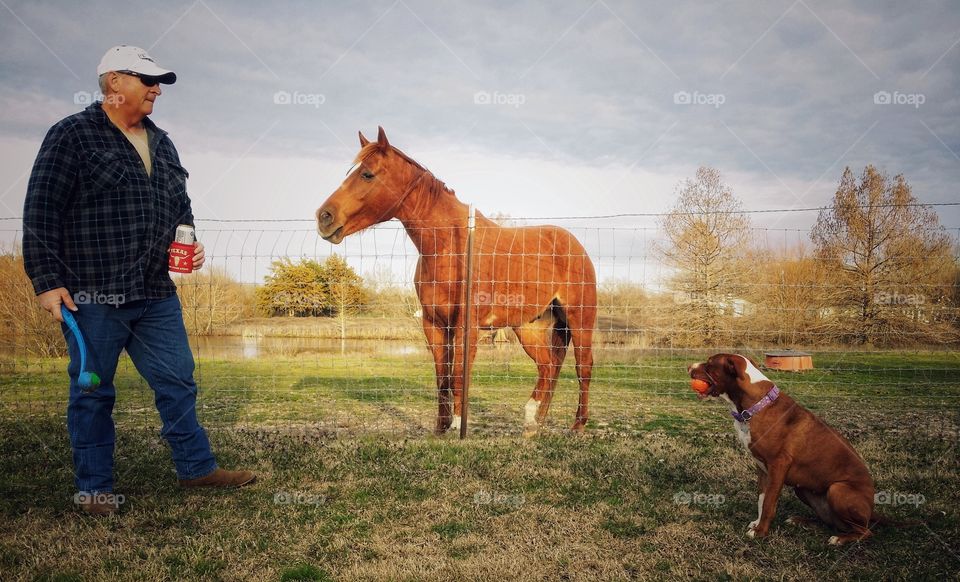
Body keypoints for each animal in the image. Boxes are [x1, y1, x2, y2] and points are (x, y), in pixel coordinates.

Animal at [318, 128, 596, 438]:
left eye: (367, 174)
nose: (324, 217)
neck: (449, 245)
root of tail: (574, 245)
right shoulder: (434, 325)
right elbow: (443, 377)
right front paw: (441, 428)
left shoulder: (466, 328)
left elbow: (458, 377)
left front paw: (457, 427)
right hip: (530, 326)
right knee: (548, 368)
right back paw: (533, 424)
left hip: (579, 320)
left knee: (583, 368)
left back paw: (577, 425)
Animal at [688, 356, 888, 548]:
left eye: (709, 363)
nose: (689, 367)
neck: (756, 405)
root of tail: (871, 510)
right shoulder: (762, 468)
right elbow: (761, 499)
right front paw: (757, 524)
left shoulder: (778, 466)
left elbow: (769, 503)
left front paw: (760, 533)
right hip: (803, 489)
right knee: (830, 522)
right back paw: (802, 521)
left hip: (837, 489)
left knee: (864, 531)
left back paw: (840, 539)